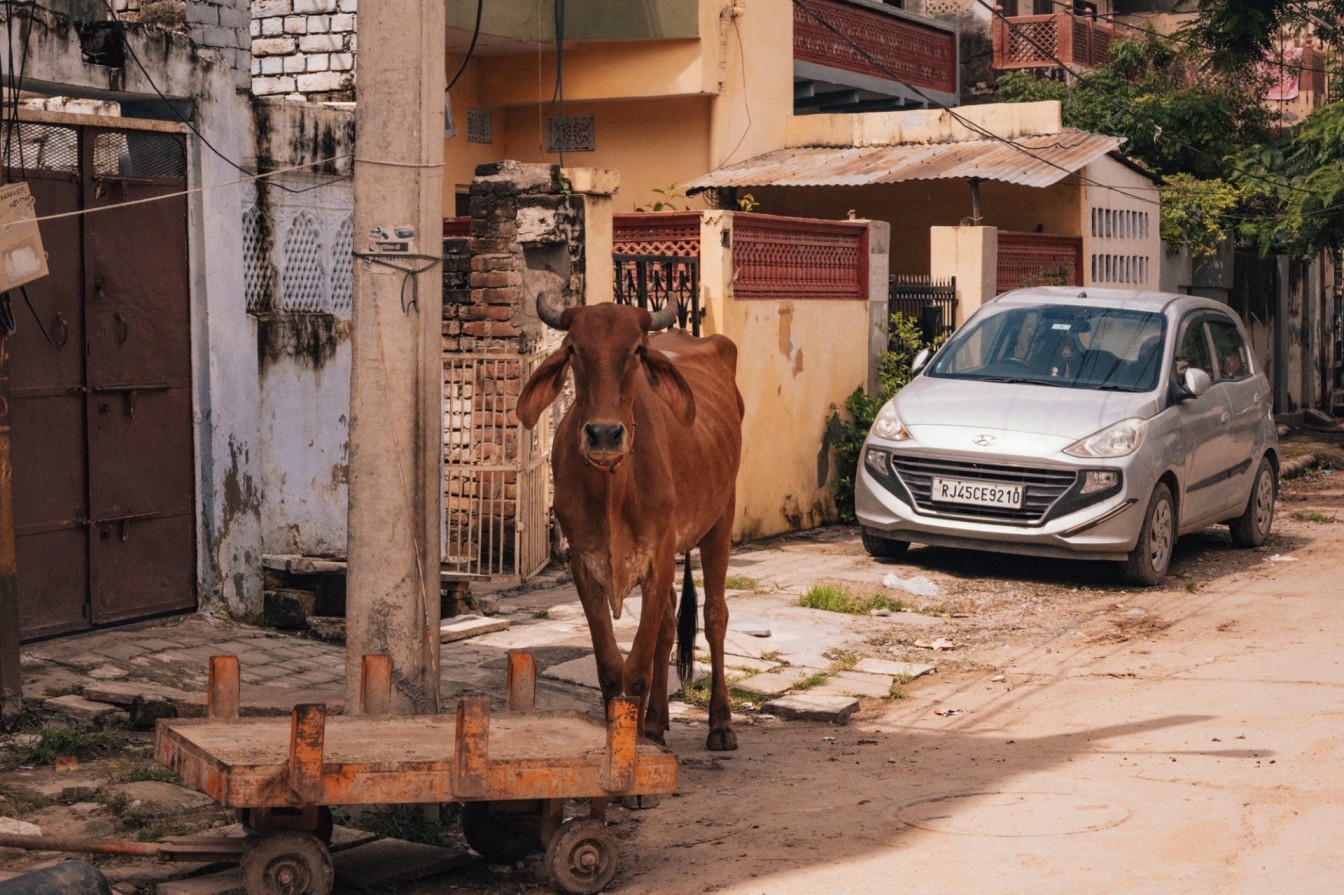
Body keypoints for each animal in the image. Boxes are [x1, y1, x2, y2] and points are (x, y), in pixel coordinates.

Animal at [515, 293, 744, 751]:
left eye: (637, 350)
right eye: (573, 349)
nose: (604, 434)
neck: (613, 490)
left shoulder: (658, 558)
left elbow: (635, 670)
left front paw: (635, 753)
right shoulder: (584, 565)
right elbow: (610, 668)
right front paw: (623, 741)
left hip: (720, 519)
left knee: (715, 617)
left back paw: (721, 723)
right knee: (669, 625)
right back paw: (655, 722)